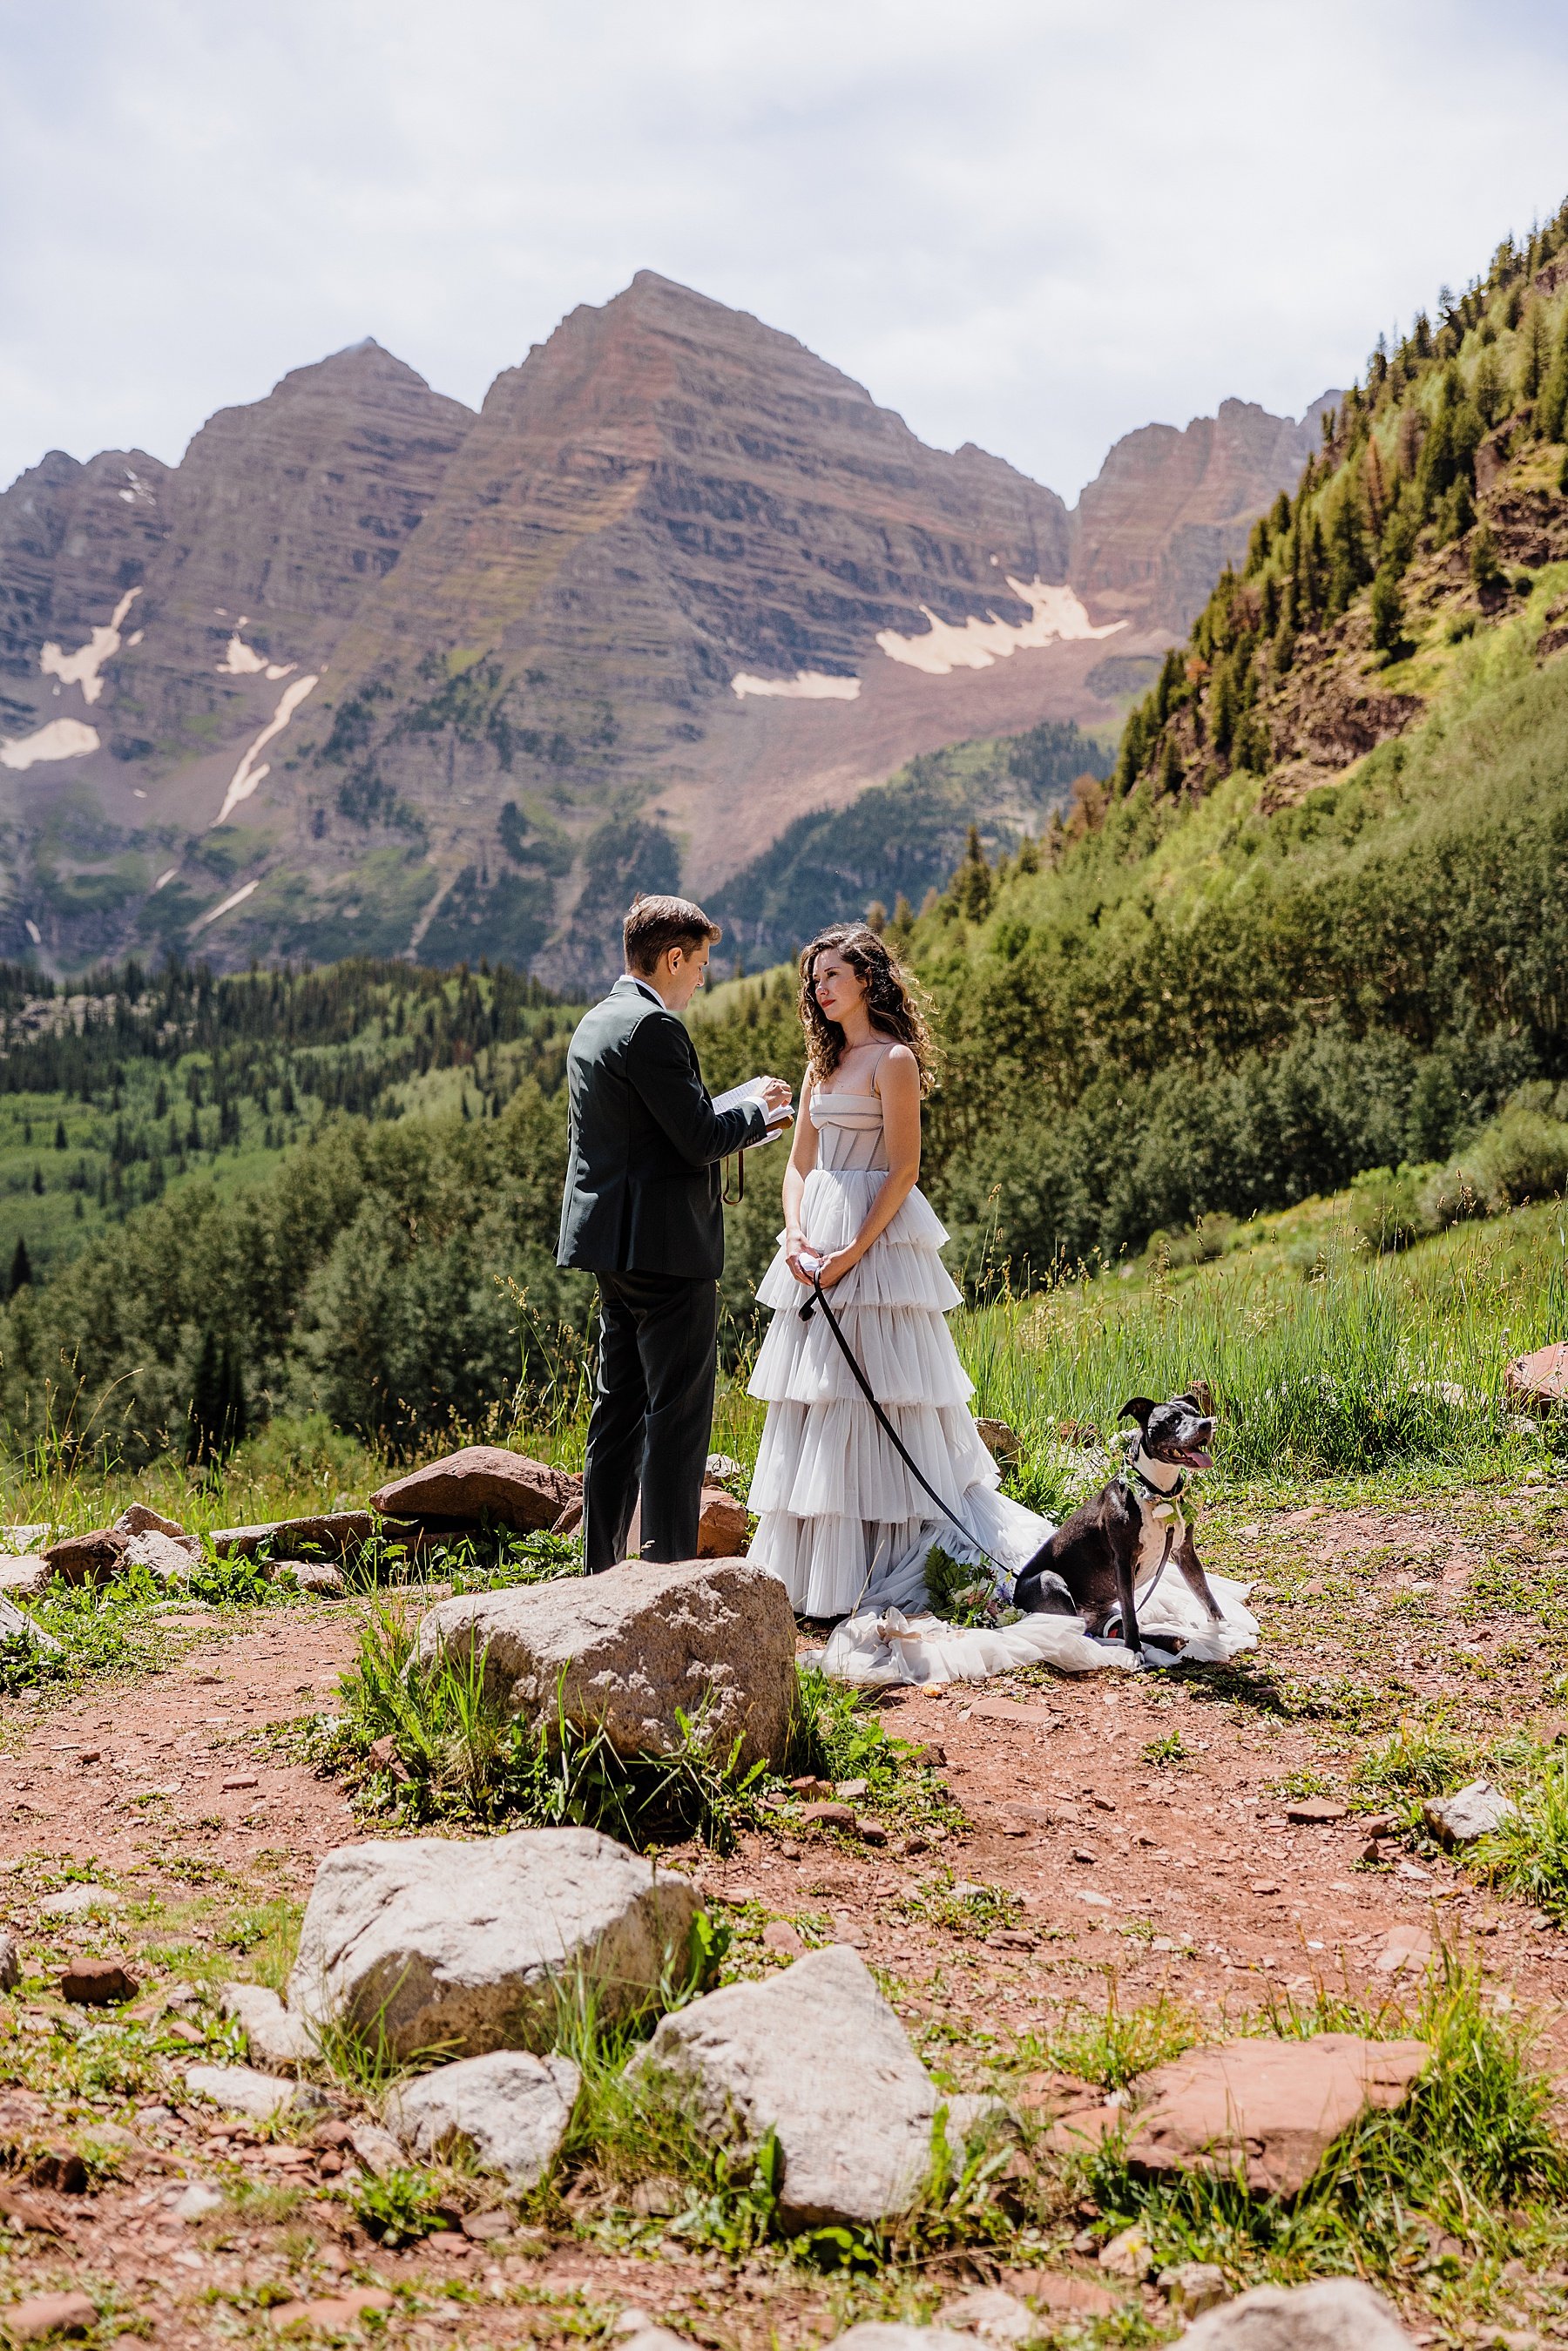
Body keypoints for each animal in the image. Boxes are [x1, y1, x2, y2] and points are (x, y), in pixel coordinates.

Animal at [1020, 1382, 1222, 1664]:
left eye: (1196, 1413)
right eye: (1173, 1419)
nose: (1206, 1424)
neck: (1159, 1491)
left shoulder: (1184, 1552)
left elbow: (1207, 1598)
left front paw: (1224, 1631)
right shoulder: (1124, 1562)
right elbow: (1130, 1615)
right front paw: (1134, 1652)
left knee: (1107, 1628)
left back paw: (1169, 1641)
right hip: (1050, 1581)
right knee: (1083, 1636)